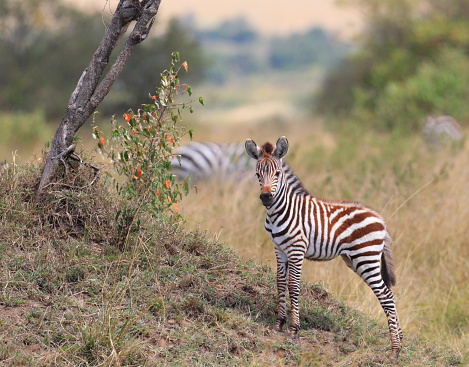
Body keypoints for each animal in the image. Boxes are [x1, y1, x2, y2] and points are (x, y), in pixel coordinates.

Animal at [245, 137, 402, 362]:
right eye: (257, 174)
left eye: (277, 174)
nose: (266, 198)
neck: (280, 211)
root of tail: (380, 218)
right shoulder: (279, 249)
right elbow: (280, 283)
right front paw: (278, 324)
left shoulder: (297, 249)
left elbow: (293, 286)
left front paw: (293, 329)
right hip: (354, 260)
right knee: (387, 294)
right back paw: (400, 343)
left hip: (366, 258)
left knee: (386, 296)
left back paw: (395, 350)